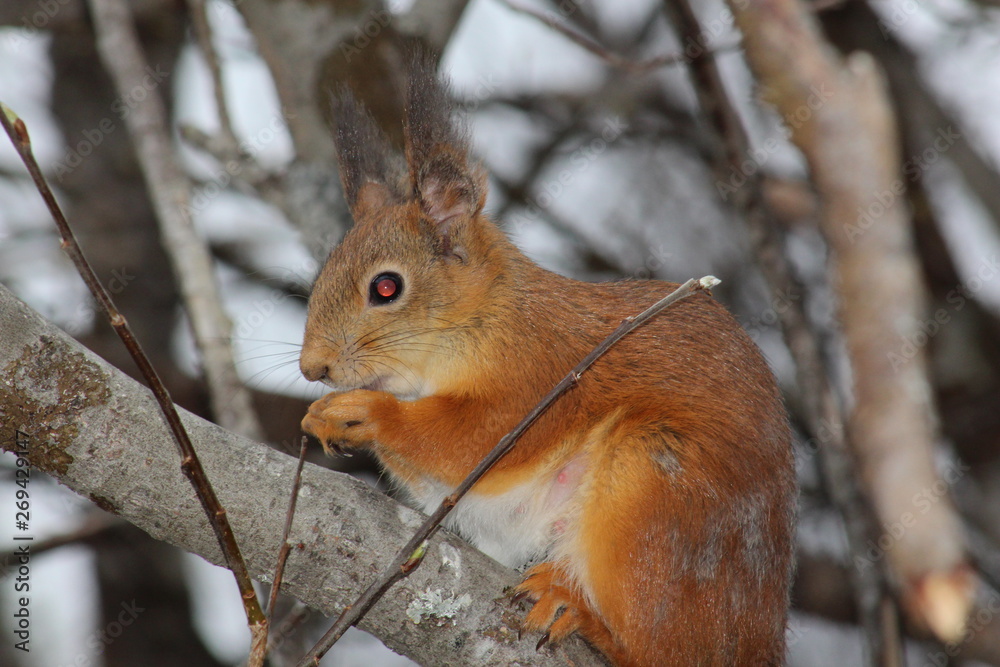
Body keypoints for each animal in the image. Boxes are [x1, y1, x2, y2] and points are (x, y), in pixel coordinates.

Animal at [299, 54, 796, 666]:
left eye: (386, 288)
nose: (312, 367)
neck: (485, 318)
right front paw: (323, 416)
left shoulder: (541, 372)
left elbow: (472, 437)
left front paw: (367, 413)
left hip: (656, 493)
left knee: (657, 649)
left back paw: (581, 613)